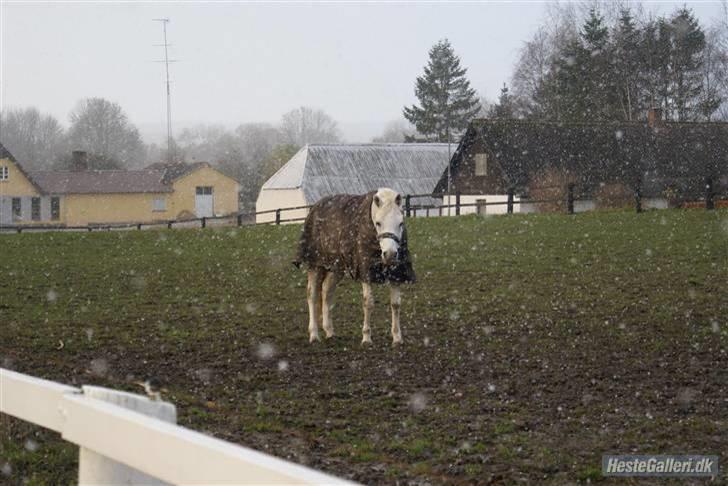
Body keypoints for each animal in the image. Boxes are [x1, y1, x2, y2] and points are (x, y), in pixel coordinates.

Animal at [292, 188, 416, 344]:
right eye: (378, 223)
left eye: (400, 223)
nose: (390, 254)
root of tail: (315, 207)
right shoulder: (365, 271)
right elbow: (368, 303)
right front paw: (366, 338)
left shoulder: (396, 273)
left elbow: (396, 304)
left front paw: (397, 338)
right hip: (316, 265)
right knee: (312, 294)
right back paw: (314, 335)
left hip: (336, 268)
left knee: (326, 291)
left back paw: (329, 332)